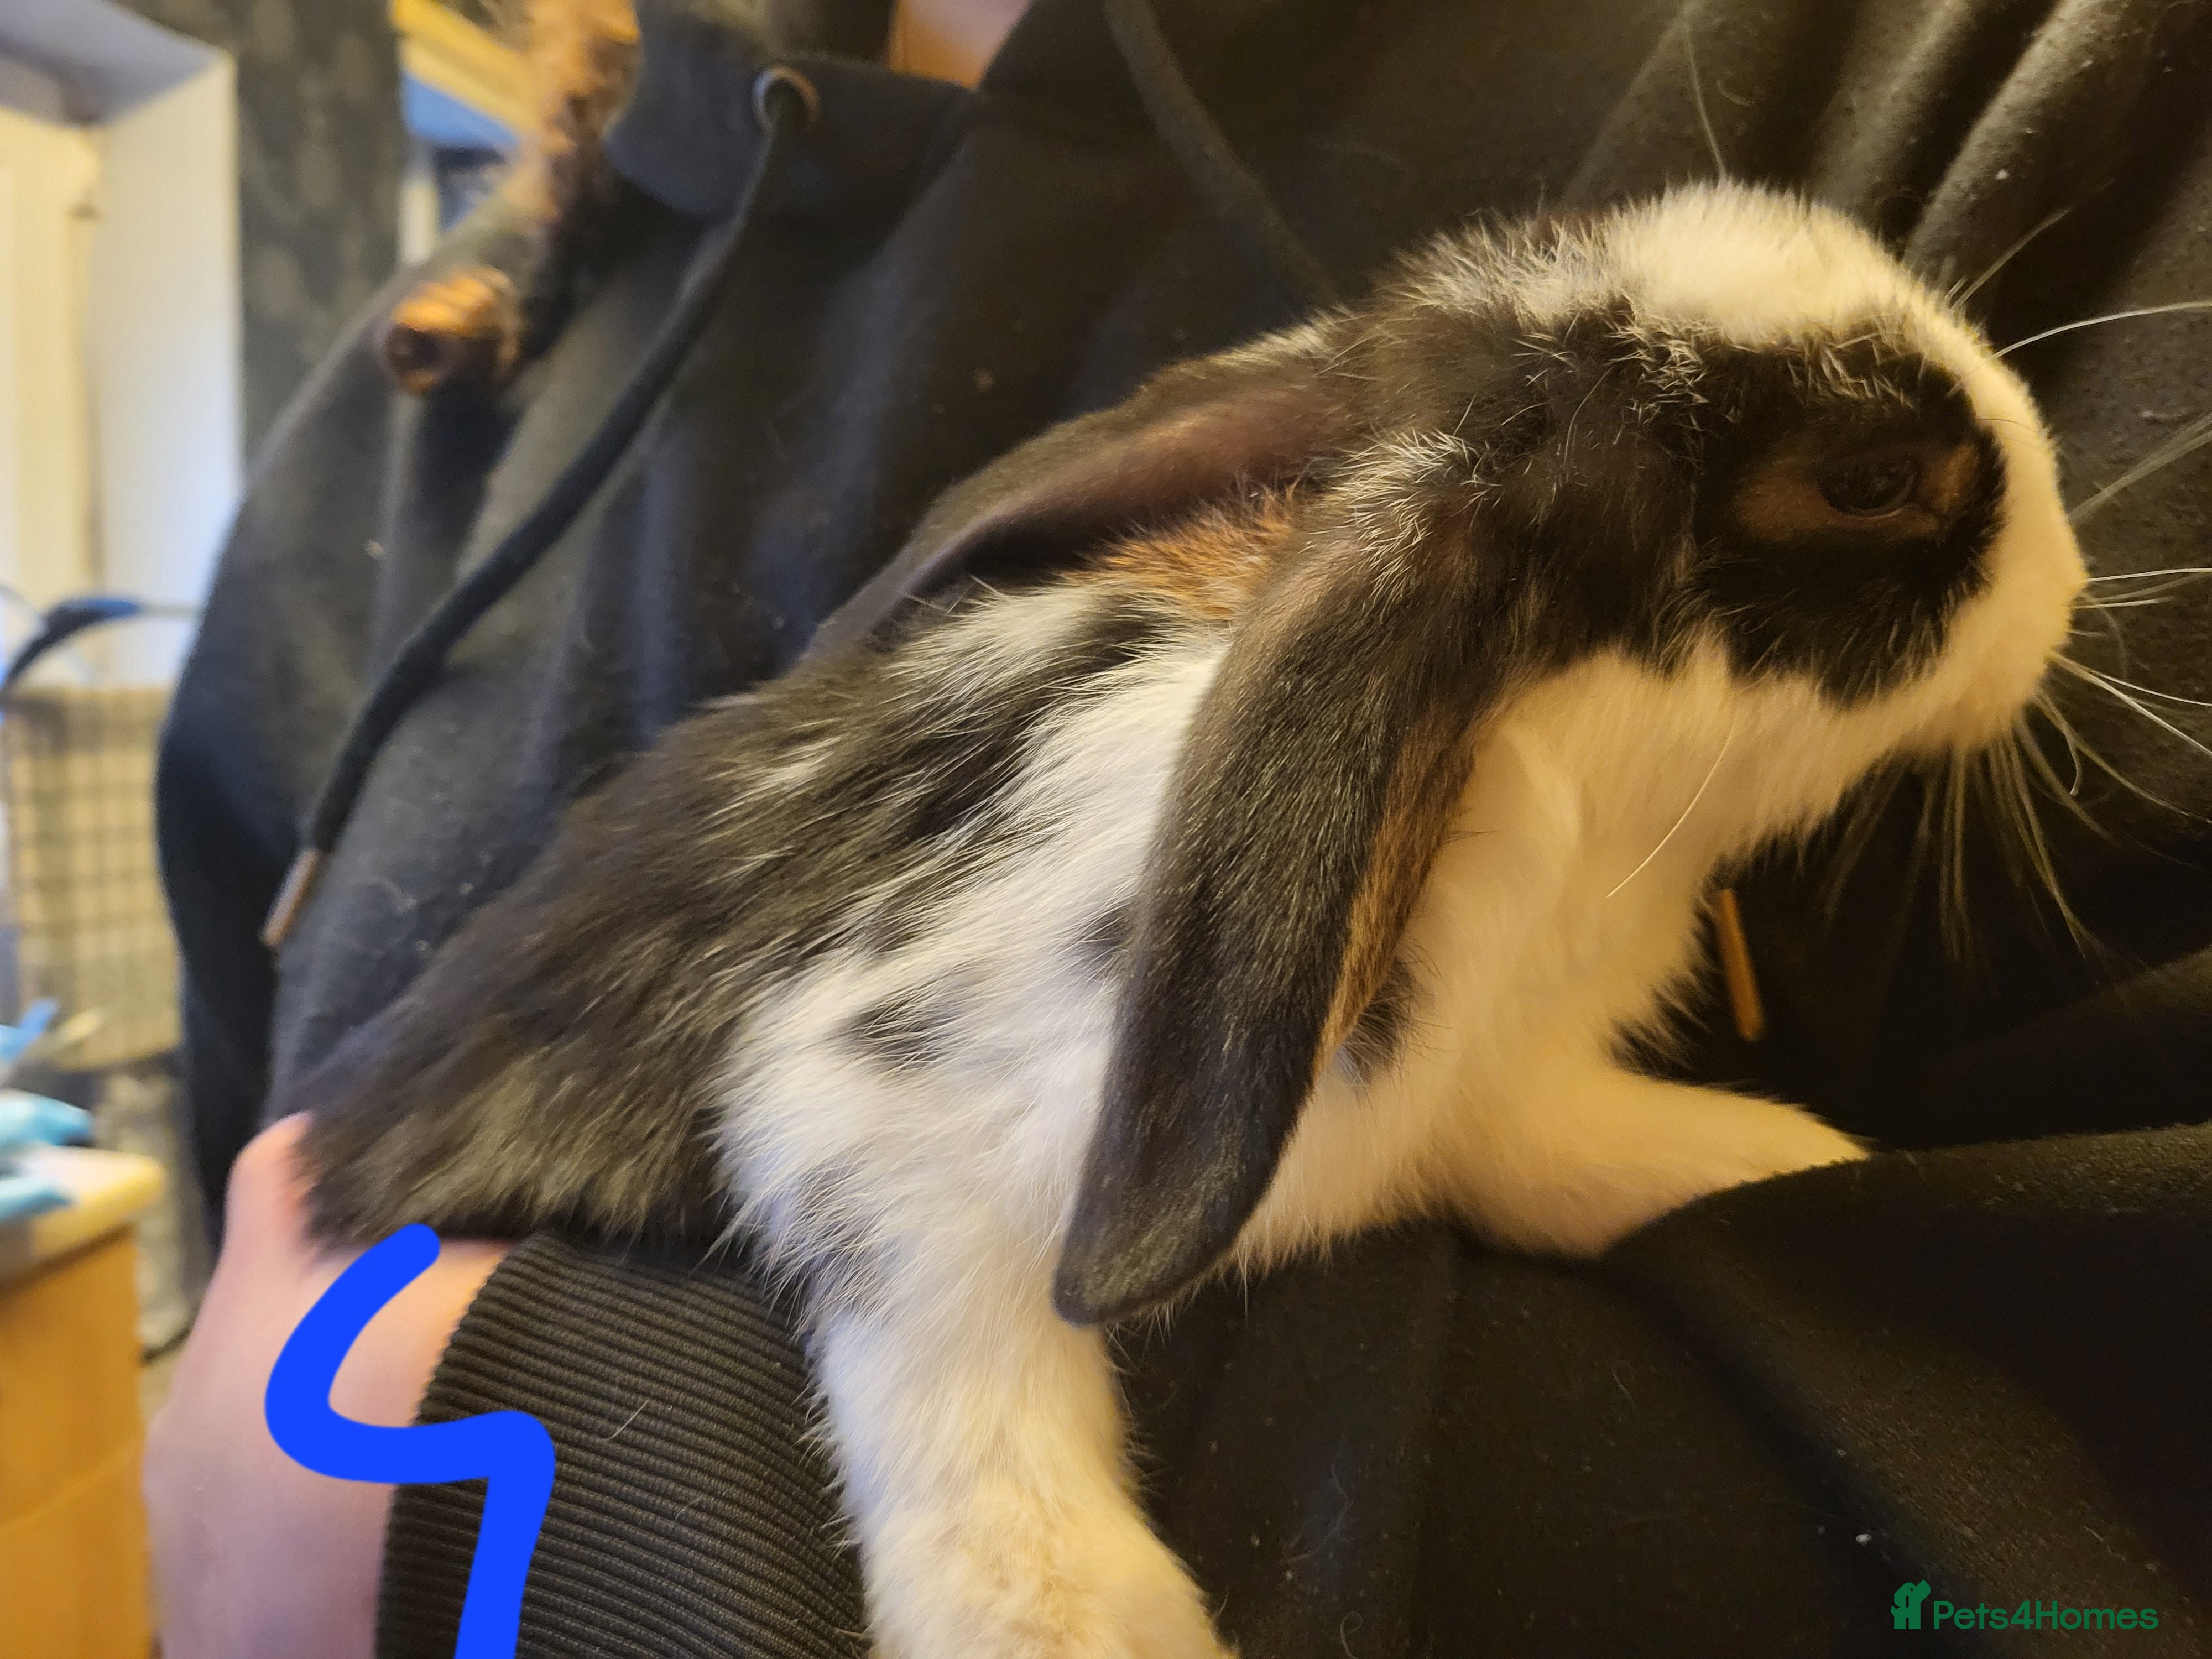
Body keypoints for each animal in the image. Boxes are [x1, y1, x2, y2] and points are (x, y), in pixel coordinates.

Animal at [299, 181, 2087, 1659]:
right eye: (1866, 479)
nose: (2070, 575)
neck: (1517, 756)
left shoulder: (1483, 1092)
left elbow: (1568, 1151)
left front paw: (1778, 1159)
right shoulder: (880, 1103)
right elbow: (957, 1362)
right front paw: (1070, 1625)